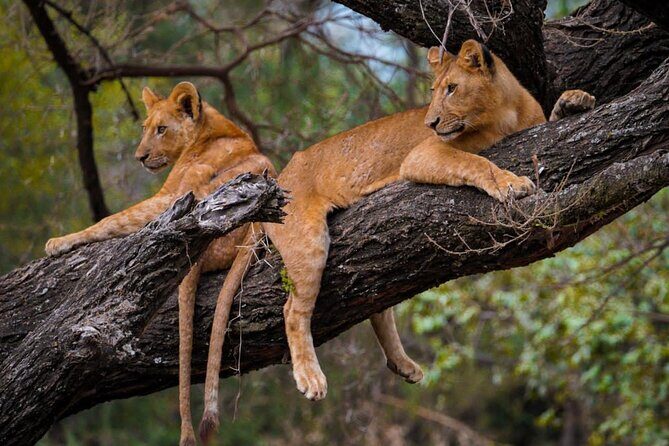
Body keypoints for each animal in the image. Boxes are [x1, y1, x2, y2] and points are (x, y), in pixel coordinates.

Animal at [44, 82, 275, 446]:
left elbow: (111, 219)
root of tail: (254, 229)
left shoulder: (168, 197)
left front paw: (59, 242)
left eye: (162, 129)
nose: (140, 157)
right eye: (145, 128)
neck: (209, 131)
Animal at [197, 39, 595, 442]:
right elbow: (476, 163)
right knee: (294, 310)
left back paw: (403, 364)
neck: (506, 112)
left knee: (378, 299)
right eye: (434, 91)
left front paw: (575, 100)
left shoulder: (530, 125)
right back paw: (311, 377)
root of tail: (279, 178)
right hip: (308, 240)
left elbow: (550, 119)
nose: (430, 123)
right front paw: (512, 184)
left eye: (452, 89)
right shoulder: (424, 154)